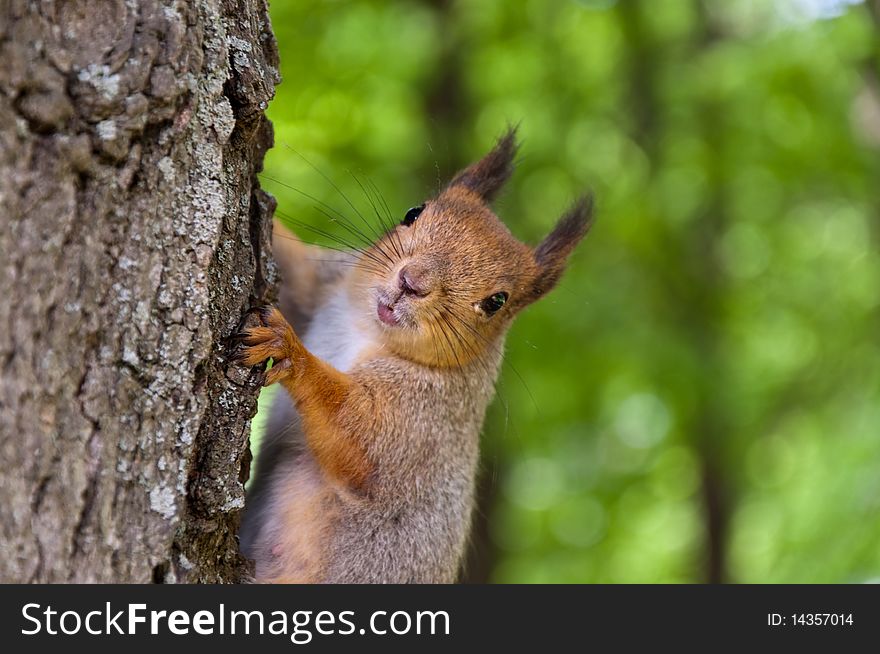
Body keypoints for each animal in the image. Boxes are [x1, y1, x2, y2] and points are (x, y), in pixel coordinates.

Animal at [235, 129, 592, 584]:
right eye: (412, 213)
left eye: (496, 302)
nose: (412, 281)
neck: (365, 328)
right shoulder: (321, 288)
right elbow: (296, 270)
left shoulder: (426, 416)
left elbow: (362, 435)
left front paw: (288, 348)